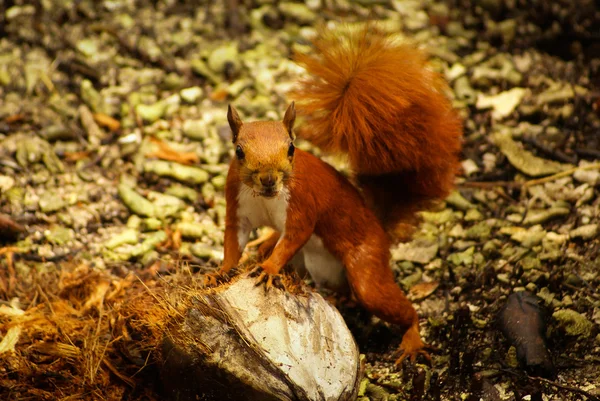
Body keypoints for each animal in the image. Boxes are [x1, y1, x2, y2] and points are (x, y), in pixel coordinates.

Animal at [213, 25, 462, 362]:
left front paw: (268, 269)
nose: (268, 180)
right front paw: (222, 270)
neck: (264, 198)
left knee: (391, 303)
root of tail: (377, 225)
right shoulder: (237, 203)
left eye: (291, 149)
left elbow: (295, 235)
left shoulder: (303, 202)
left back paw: (411, 339)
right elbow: (233, 239)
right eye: (239, 151)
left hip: (367, 268)